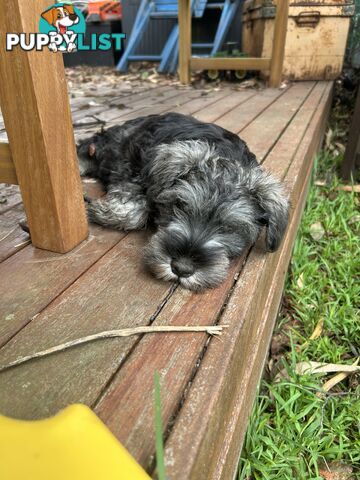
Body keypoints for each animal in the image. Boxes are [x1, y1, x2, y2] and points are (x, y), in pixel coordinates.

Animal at [77, 112, 288, 290]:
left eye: (230, 228)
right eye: (178, 206)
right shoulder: (130, 167)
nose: (181, 268)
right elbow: (130, 213)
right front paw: (99, 210)